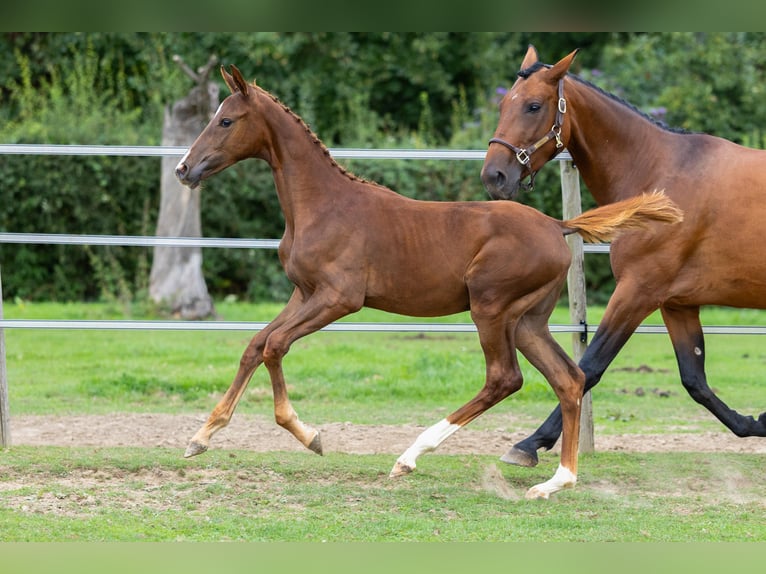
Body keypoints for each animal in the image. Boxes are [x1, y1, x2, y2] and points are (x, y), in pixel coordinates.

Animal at [175, 64, 682, 498]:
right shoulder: (304, 293)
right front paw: (200, 437)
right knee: (569, 379)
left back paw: (410, 456)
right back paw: (556, 482)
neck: (321, 205)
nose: (184, 169)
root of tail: (558, 225)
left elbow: (275, 345)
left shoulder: (339, 298)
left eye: (227, 120)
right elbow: (255, 345)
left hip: (490, 307)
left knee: (504, 378)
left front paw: (310, 436)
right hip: (527, 320)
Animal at [481, 45, 766, 468]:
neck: (660, 175)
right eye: (503, 104)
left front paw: (530, 444)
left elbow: (589, 367)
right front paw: (756, 423)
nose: (494, 177)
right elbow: (694, 379)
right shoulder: (677, 303)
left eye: (533, 106)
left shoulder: (637, 292)